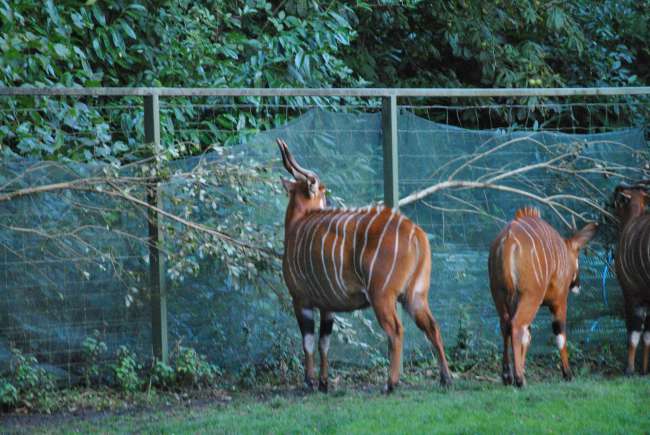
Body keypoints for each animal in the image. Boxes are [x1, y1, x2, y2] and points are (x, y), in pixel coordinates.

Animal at [274, 138, 450, 394]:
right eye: (324, 192)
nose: (330, 200)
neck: (297, 224)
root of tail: (416, 233)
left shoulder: (300, 299)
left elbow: (308, 342)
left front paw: (310, 382)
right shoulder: (327, 306)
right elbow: (324, 343)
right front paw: (324, 383)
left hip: (382, 295)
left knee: (396, 330)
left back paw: (390, 384)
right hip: (415, 294)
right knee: (432, 326)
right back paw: (445, 378)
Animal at [486, 208, 596, 388]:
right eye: (578, 255)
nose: (578, 285)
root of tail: (508, 240)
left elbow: (527, 337)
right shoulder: (559, 300)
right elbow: (560, 334)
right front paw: (567, 374)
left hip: (499, 295)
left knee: (507, 326)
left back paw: (508, 376)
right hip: (531, 297)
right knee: (517, 326)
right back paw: (519, 379)